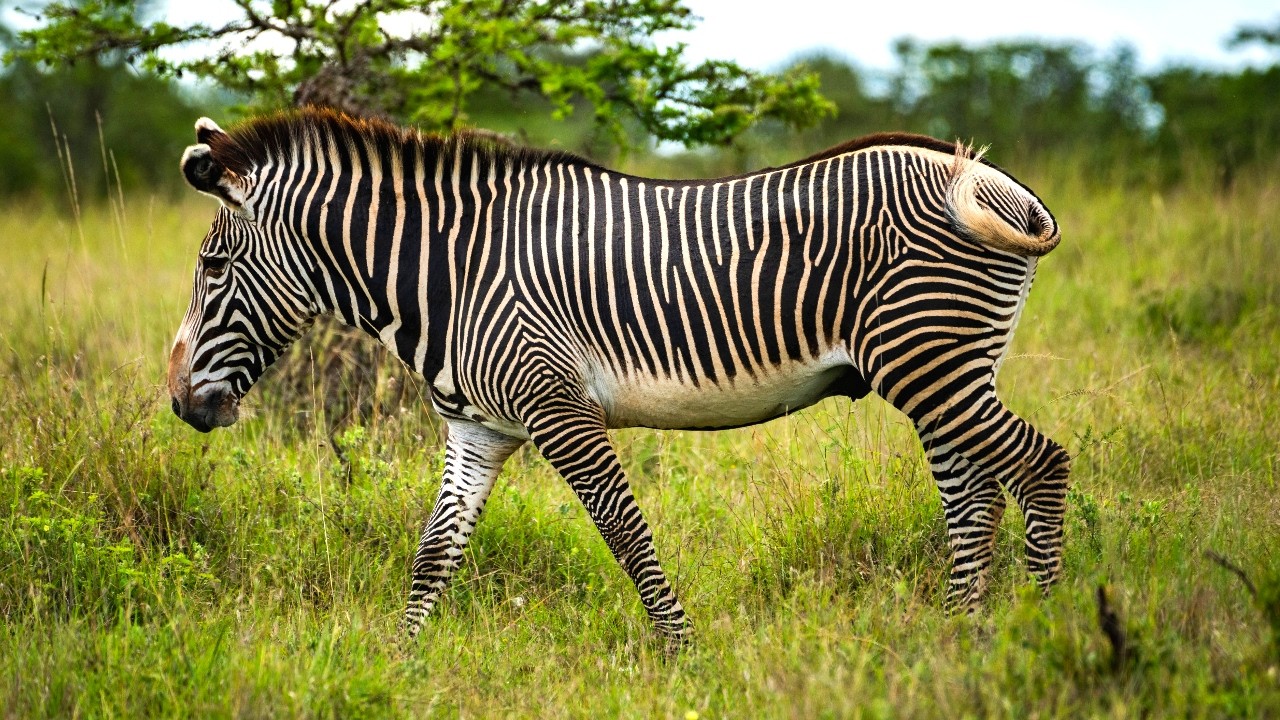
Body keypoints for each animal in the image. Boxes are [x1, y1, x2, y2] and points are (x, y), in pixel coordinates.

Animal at [167, 108, 1069, 644]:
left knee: (1040, 466)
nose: (177, 403)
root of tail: (983, 174)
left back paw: (1045, 626)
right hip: (938, 369)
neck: (451, 274)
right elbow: (434, 555)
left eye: (212, 267)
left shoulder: (558, 408)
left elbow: (626, 535)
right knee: (973, 496)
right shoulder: (477, 428)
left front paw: (684, 655)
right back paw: (959, 633)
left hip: (930, 359)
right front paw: (401, 663)